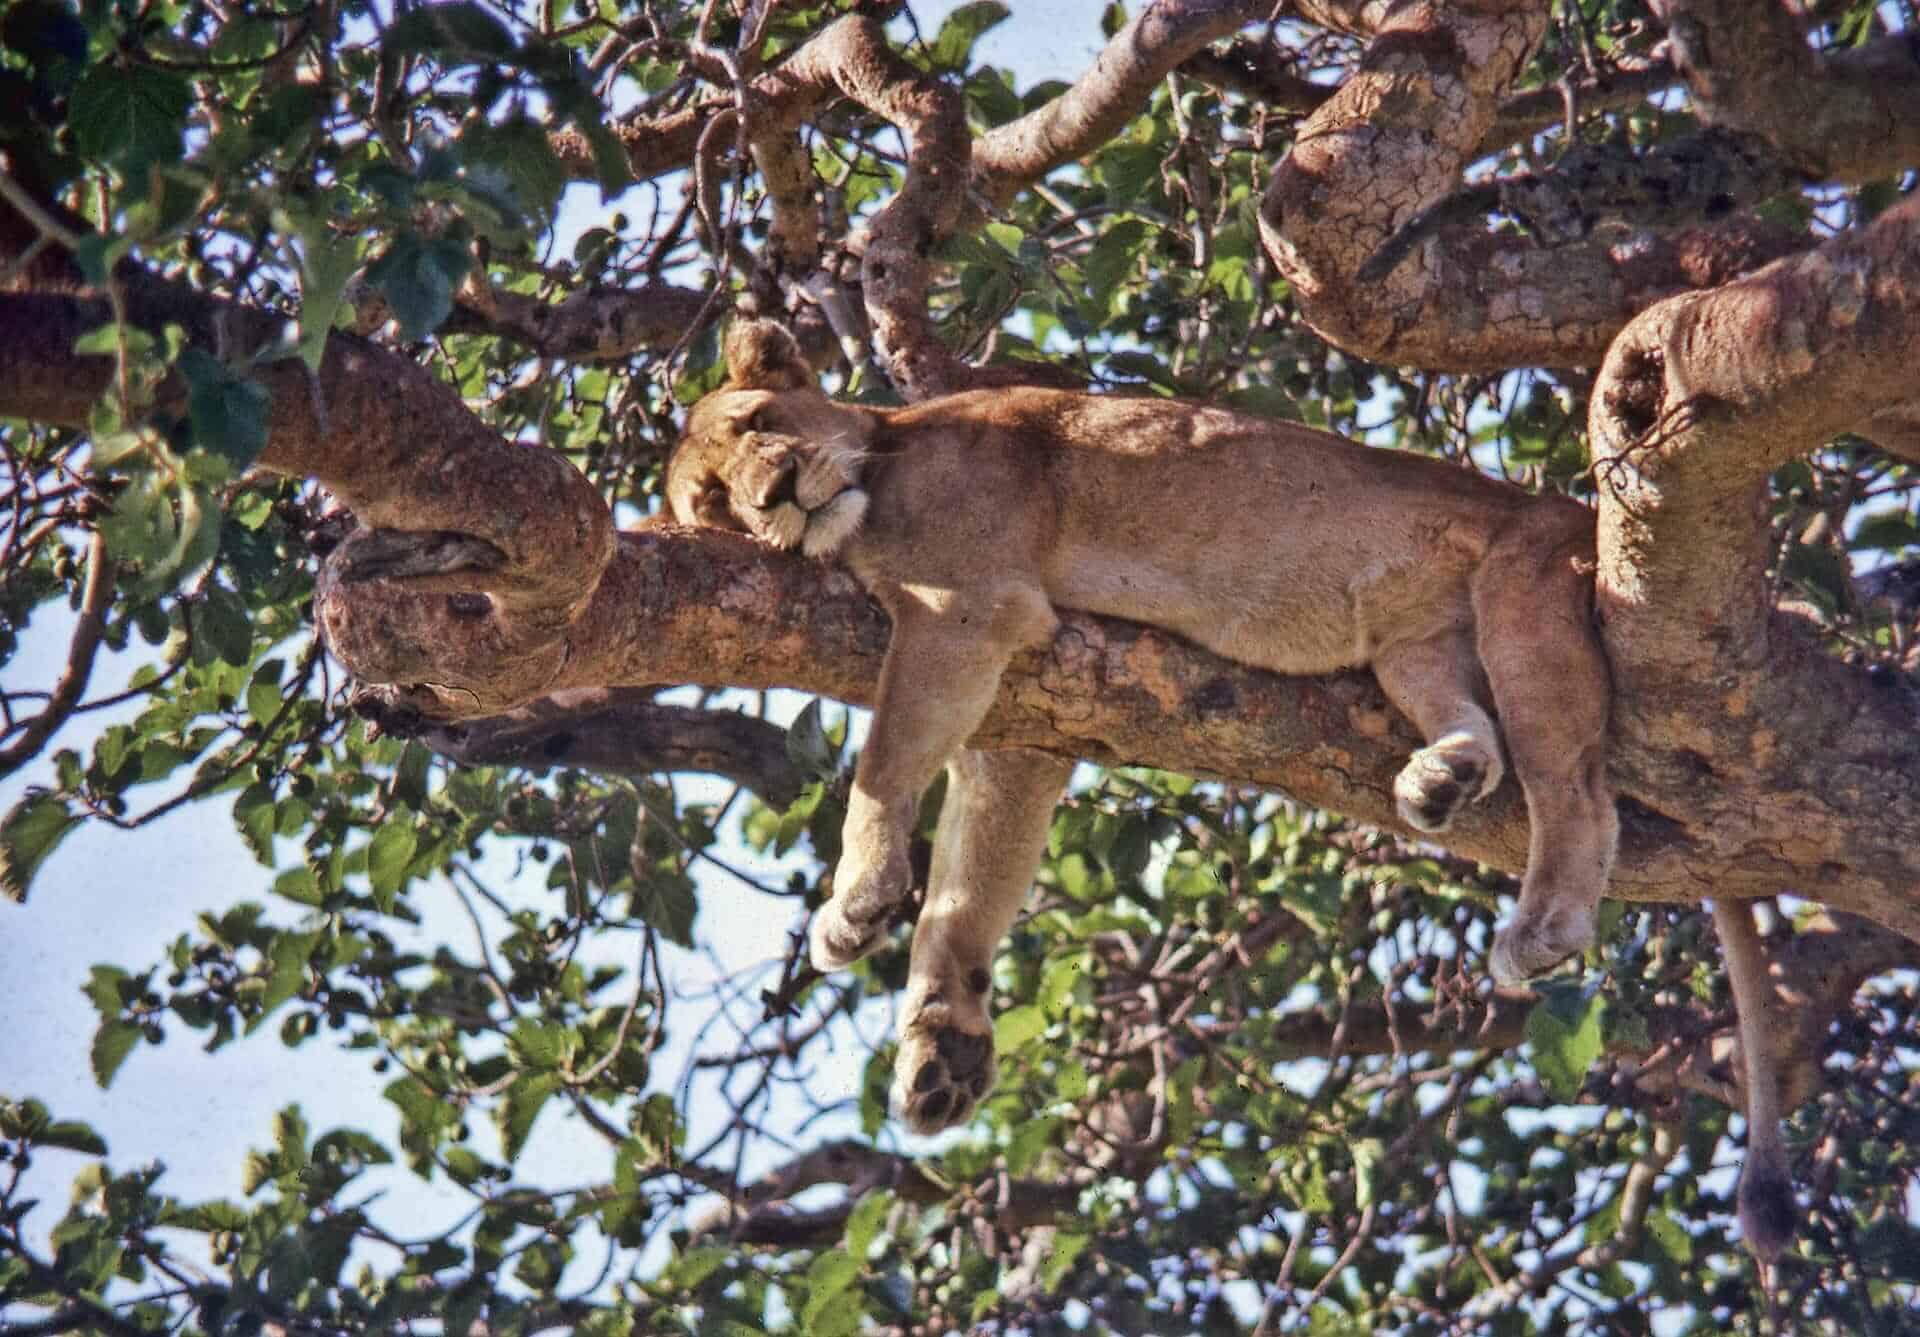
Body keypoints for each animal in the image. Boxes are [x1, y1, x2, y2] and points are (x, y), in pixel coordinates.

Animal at [666, 321, 1619, 1136]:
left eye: (758, 422)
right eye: (713, 500)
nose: (774, 493)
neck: (884, 456)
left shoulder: (965, 606)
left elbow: (881, 766)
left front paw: (855, 899)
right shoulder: (1016, 728)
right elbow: (966, 886)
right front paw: (944, 1043)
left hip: (1524, 588)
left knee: (1577, 789)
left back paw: (1543, 928)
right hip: (1414, 649)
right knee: (1474, 722)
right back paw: (1442, 775)